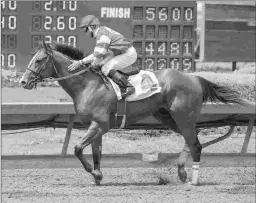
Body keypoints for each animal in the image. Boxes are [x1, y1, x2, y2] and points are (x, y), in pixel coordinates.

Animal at [19, 42, 244, 186]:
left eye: (39, 60)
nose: (23, 81)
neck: (87, 84)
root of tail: (194, 77)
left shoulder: (100, 125)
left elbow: (77, 148)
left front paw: (95, 173)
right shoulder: (94, 126)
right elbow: (95, 153)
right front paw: (98, 176)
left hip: (183, 117)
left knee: (196, 144)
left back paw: (193, 181)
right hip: (168, 117)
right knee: (192, 141)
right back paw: (181, 172)